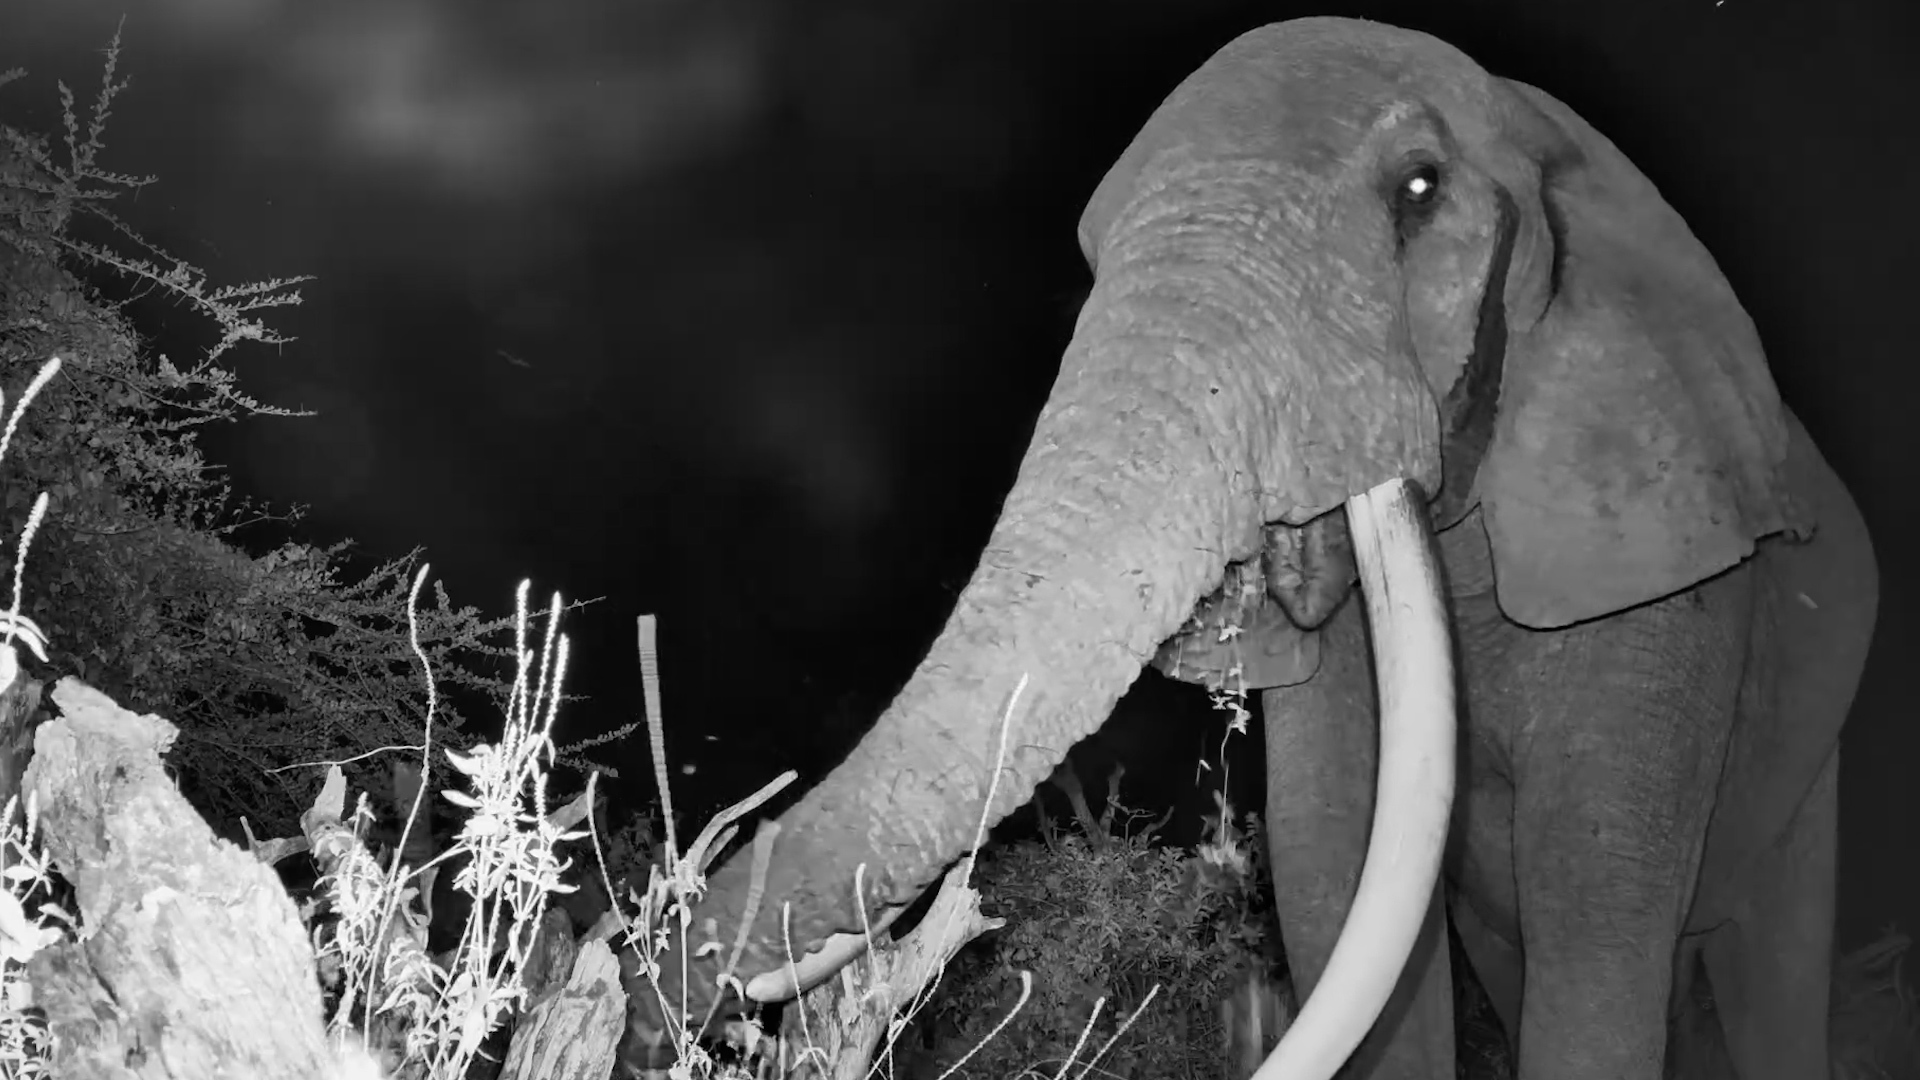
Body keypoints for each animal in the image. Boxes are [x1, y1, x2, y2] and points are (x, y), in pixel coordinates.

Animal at [616, 16, 1879, 1080]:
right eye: (1095, 253)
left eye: (1420, 190)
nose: (672, 998)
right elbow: (1331, 873)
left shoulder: (1665, 576)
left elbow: (1597, 909)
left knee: (1763, 960)